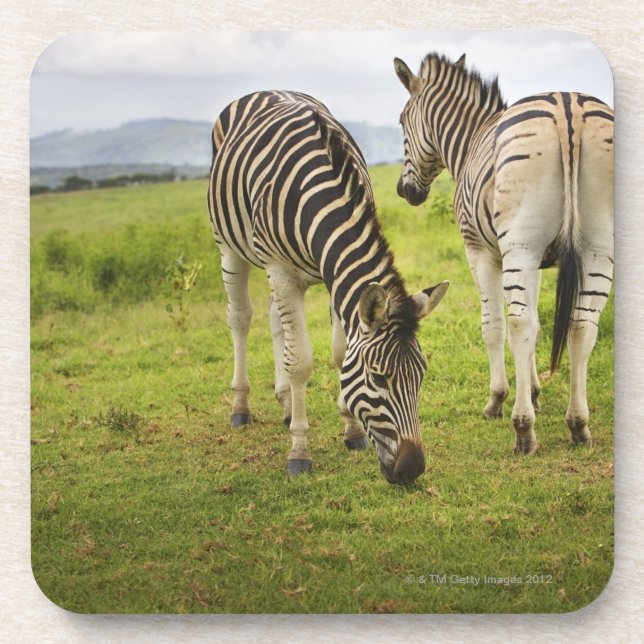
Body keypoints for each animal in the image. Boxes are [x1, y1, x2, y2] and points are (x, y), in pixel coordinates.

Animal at [207, 90, 449, 483]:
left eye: (421, 374)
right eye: (378, 378)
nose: (412, 470)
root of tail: (265, 90)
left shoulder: (334, 276)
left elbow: (338, 353)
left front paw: (351, 428)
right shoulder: (281, 269)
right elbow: (300, 362)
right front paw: (299, 451)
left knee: (275, 321)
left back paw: (286, 404)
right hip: (229, 247)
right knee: (241, 319)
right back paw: (241, 406)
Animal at [393, 52, 614, 454]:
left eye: (402, 121)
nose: (405, 192)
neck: (469, 143)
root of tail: (568, 107)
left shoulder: (480, 249)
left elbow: (494, 326)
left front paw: (498, 398)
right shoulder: (539, 260)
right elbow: (539, 325)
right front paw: (536, 392)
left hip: (521, 244)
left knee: (517, 323)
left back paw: (523, 428)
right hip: (597, 245)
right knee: (582, 325)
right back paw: (578, 424)